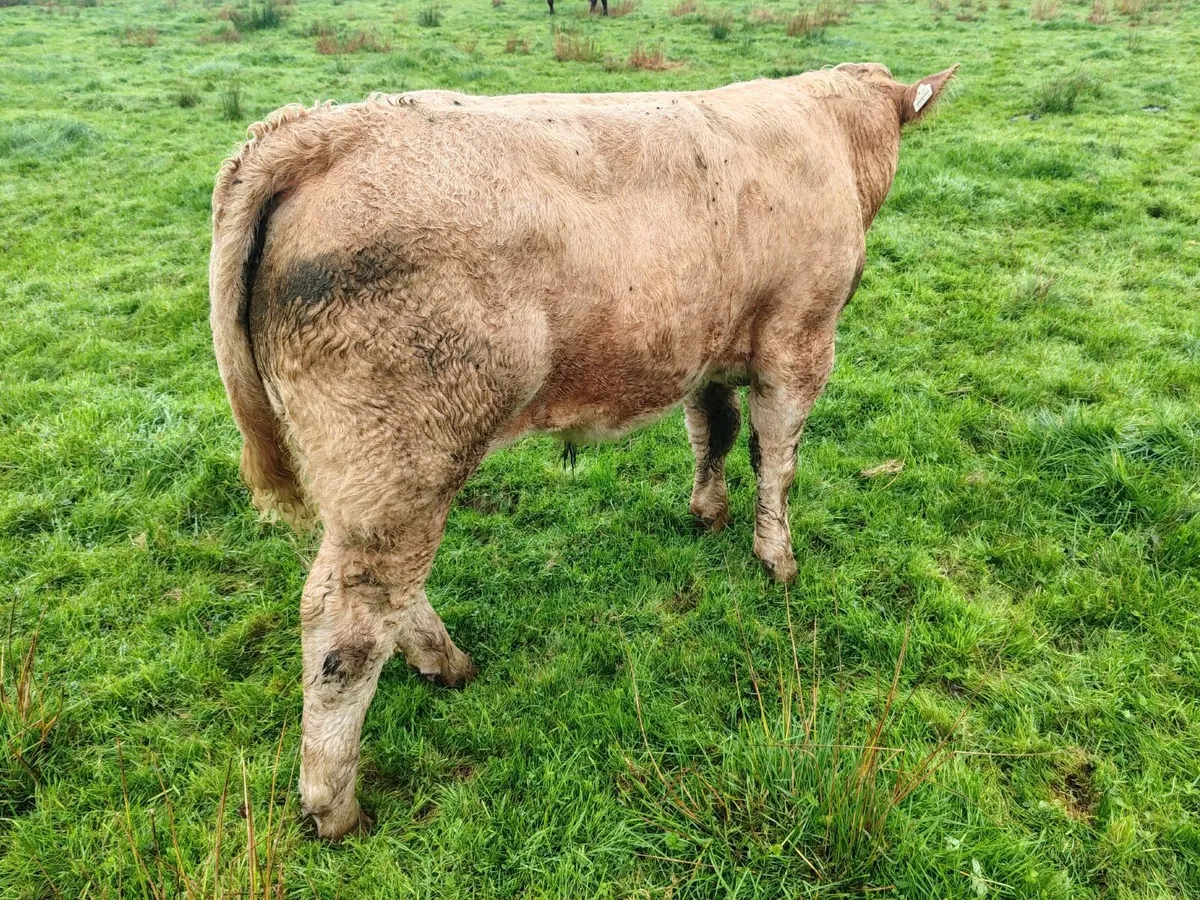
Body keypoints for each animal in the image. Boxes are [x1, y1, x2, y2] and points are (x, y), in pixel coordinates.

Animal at [209, 63, 957, 840]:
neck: (830, 131)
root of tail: (321, 129)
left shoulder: (708, 343)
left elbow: (713, 429)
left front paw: (708, 511)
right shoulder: (800, 338)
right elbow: (775, 455)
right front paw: (776, 558)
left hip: (369, 482)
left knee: (387, 593)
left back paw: (448, 663)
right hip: (400, 457)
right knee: (347, 626)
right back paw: (335, 806)